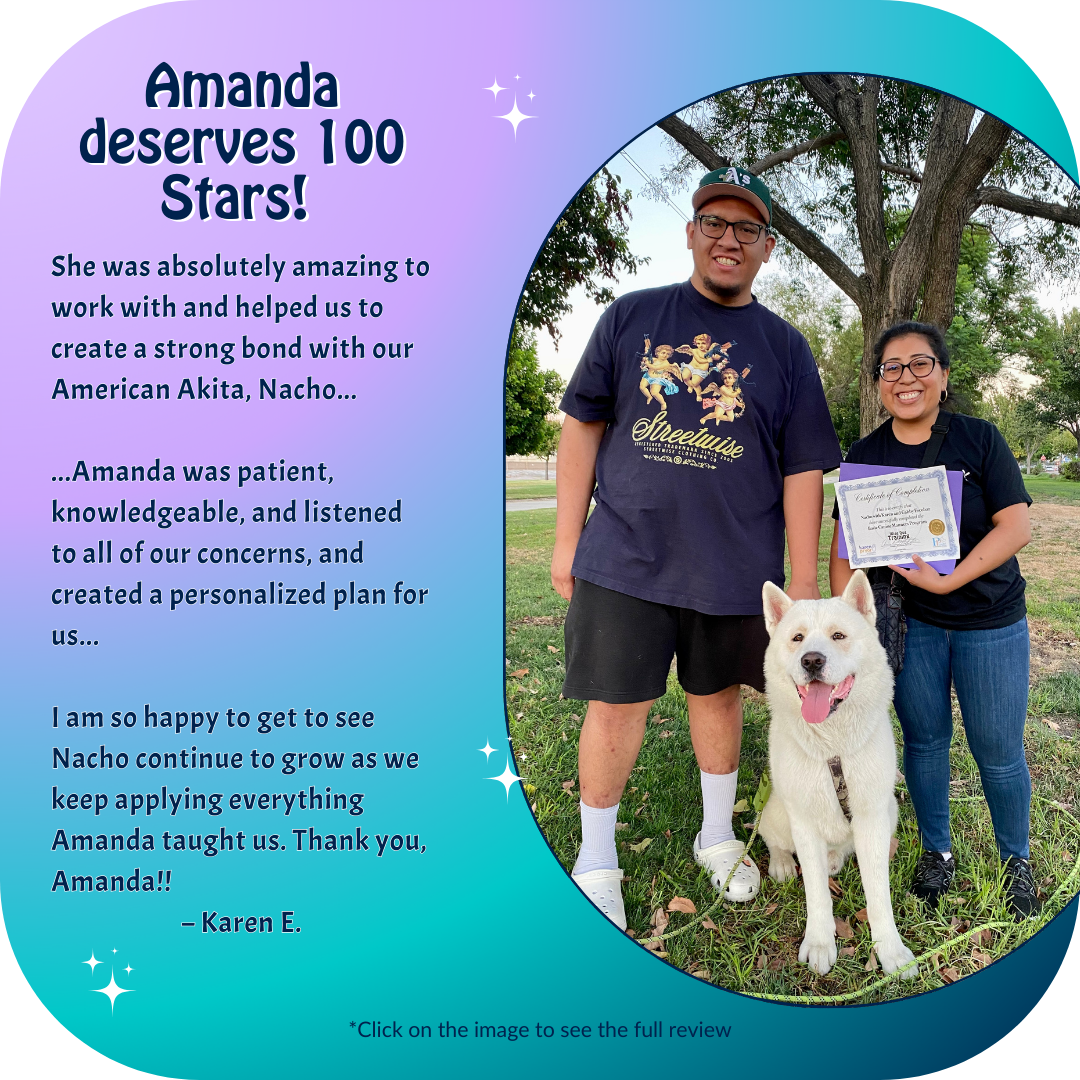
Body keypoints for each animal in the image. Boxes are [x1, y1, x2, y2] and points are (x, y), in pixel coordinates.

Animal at [756, 574, 915, 980]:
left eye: (838, 635)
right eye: (797, 638)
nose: (811, 660)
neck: (833, 746)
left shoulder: (872, 818)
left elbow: (878, 895)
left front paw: (890, 950)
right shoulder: (804, 822)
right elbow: (816, 894)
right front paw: (819, 943)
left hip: (889, 811)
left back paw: (836, 857)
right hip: (778, 810)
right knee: (771, 837)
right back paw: (782, 863)